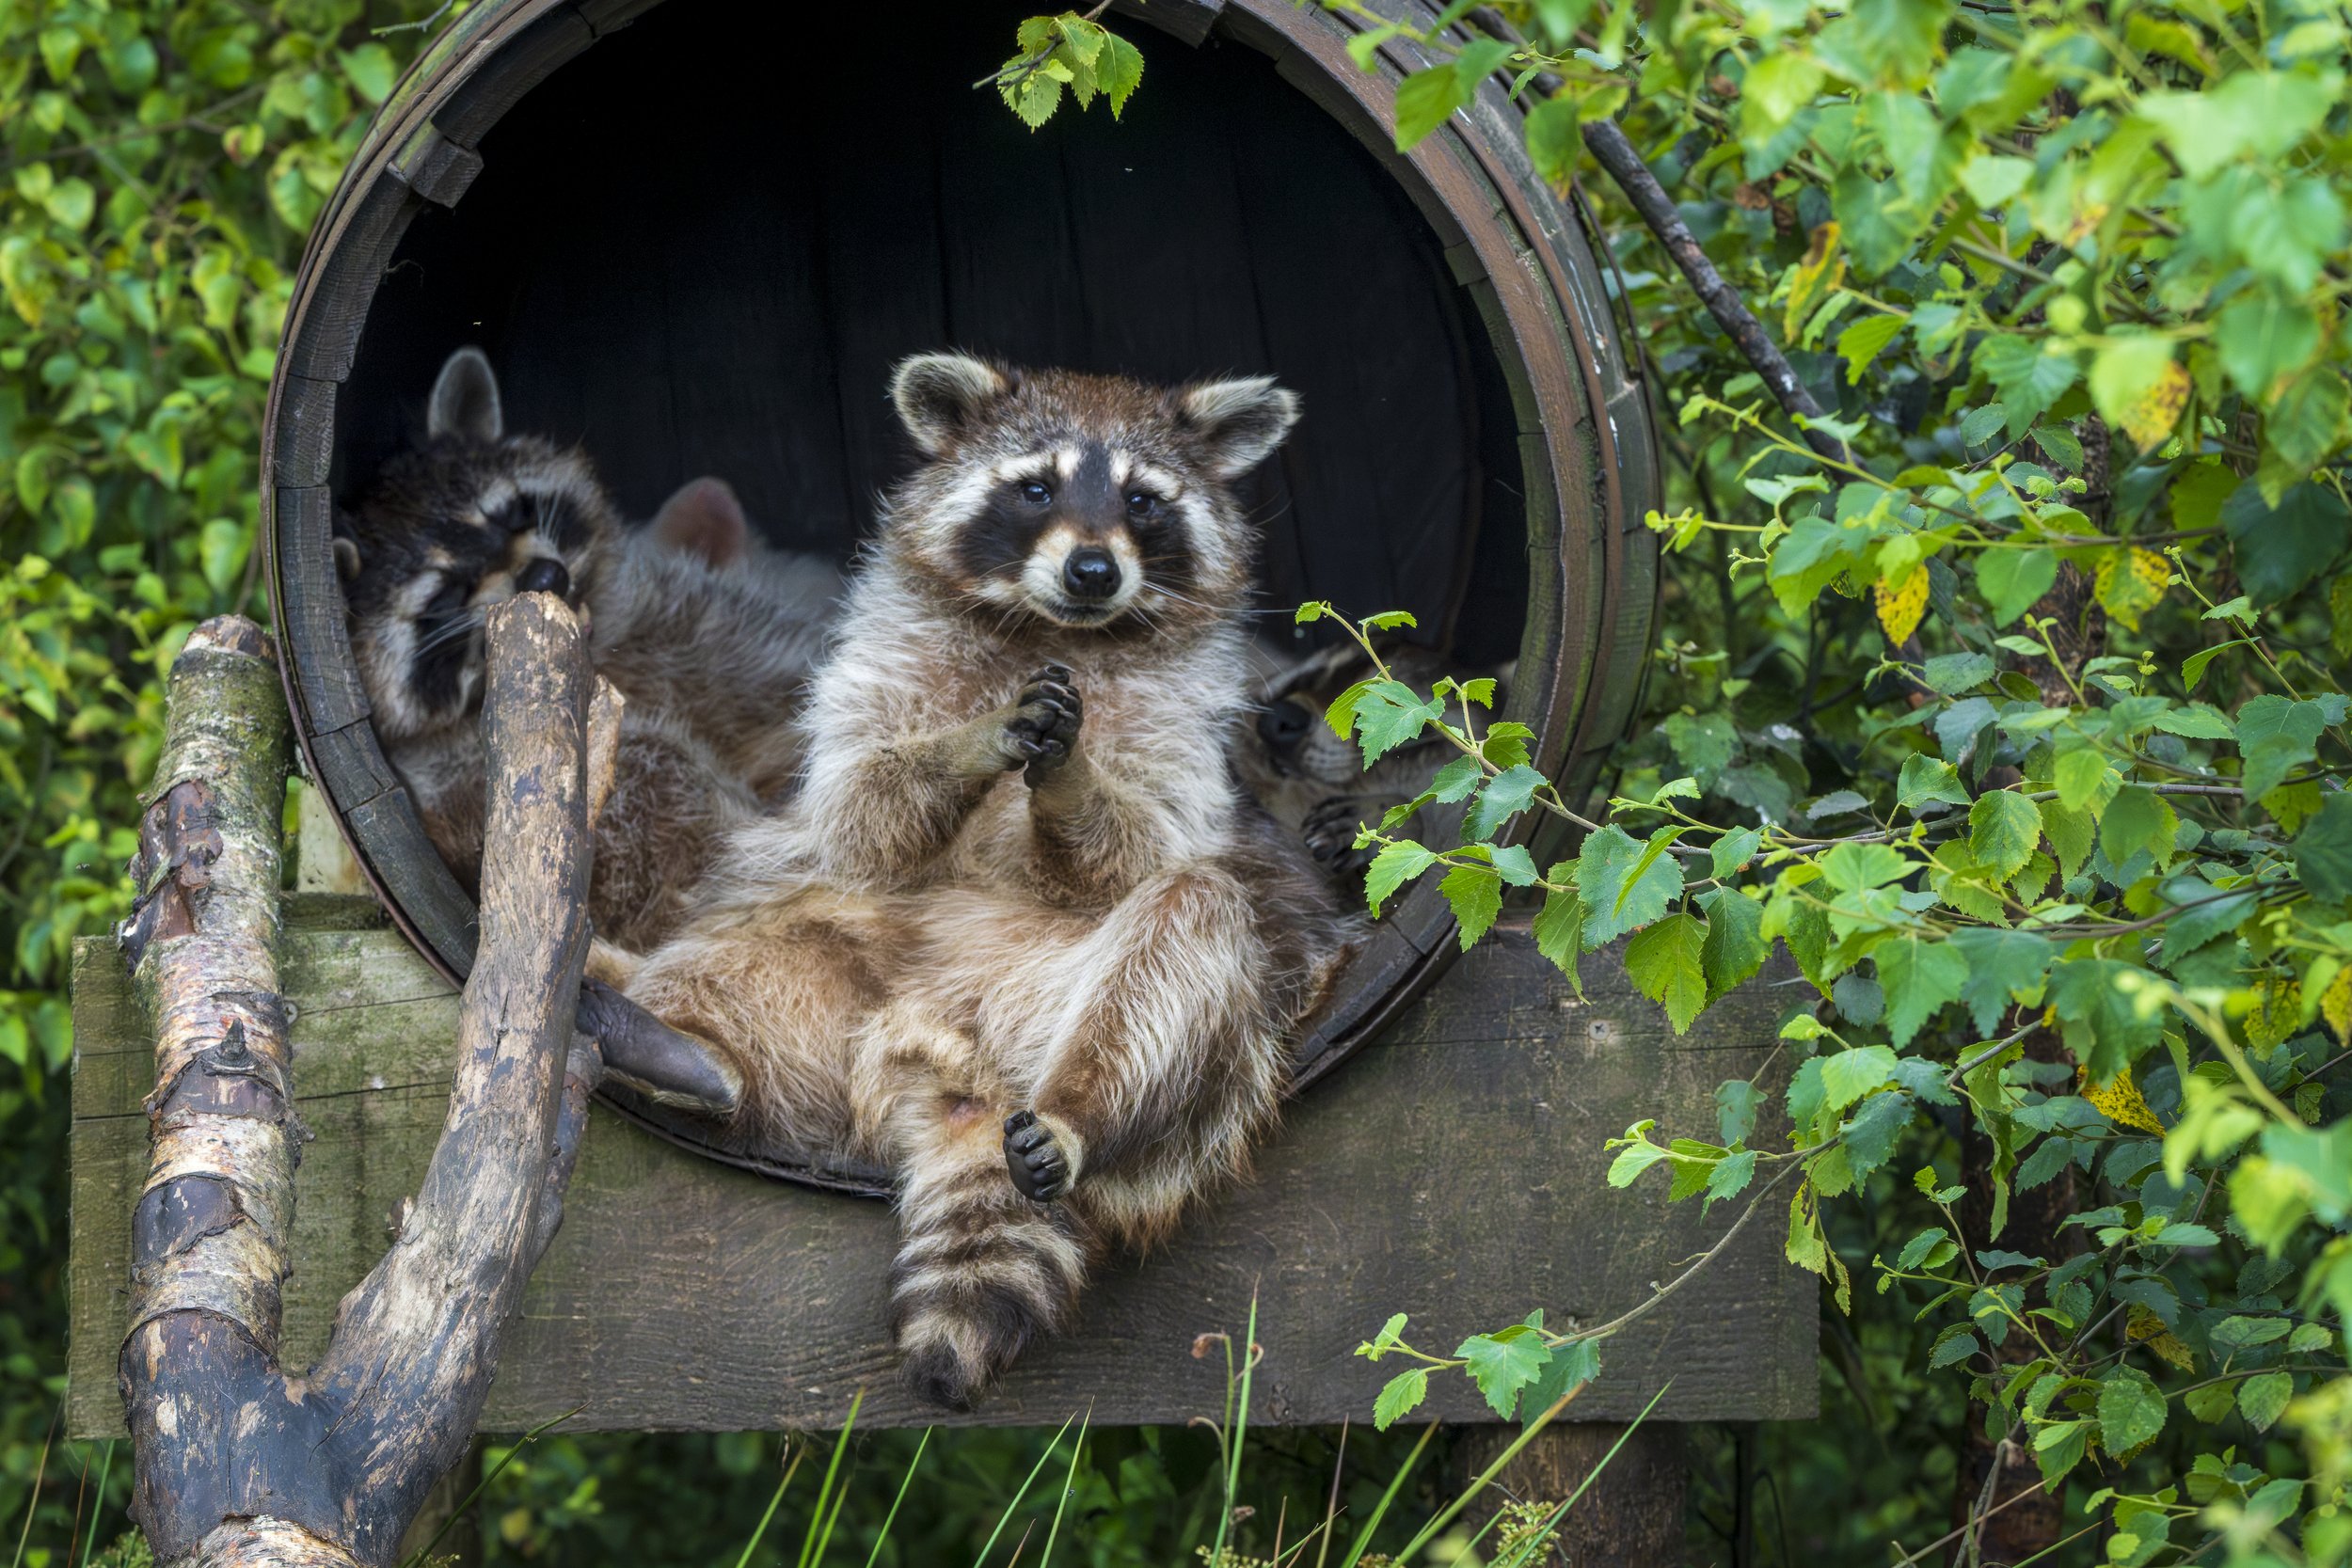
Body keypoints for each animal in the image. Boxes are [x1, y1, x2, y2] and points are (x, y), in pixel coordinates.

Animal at [610, 353, 1358, 1409]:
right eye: (1037, 487)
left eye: (1142, 498)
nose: (1093, 569)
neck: (1061, 627)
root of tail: (954, 1059)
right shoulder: (877, 651)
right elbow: (860, 807)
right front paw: (967, 742)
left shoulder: (1197, 716)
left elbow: (1148, 847)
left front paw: (1077, 779)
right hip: (832, 963)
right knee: (747, 951)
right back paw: (681, 1046)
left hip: (1117, 1013)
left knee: (1180, 948)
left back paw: (1082, 1110)